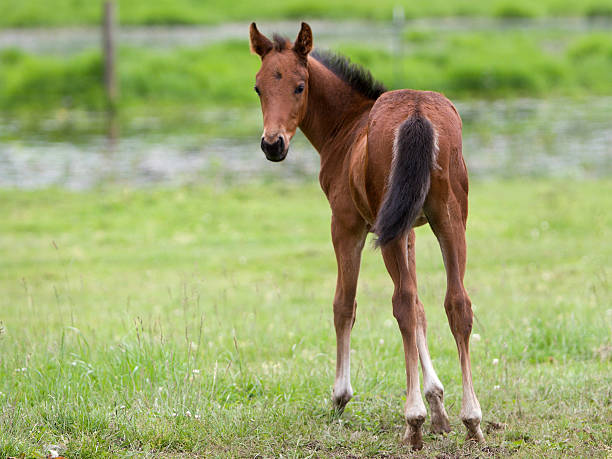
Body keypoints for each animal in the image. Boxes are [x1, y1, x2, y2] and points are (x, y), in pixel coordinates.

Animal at [249, 21, 482, 450]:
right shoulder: (407, 229)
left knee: (401, 305)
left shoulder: (347, 225)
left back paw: (413, 421)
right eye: (258, 87)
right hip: (450, 219)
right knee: (456, 304)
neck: (347, 126)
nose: (273, 145)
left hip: (390, 231)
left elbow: (345, 304)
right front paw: (438, 405)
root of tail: (417, 113)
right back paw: (472, 420)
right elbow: (422, 309)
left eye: (300, 86)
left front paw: (340, 396)